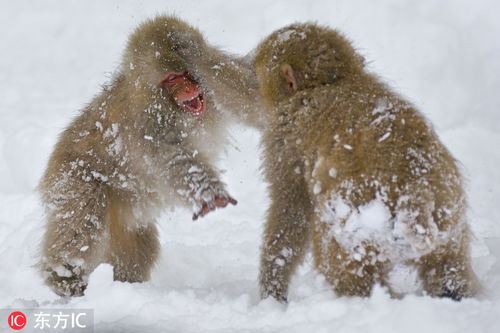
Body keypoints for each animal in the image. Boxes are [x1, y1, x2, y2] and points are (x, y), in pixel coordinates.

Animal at [39, 15, 260, 296]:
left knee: (138, 248)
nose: (188, 88)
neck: (168, 104)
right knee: (83, 222)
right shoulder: (149, 125)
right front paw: (209, 193)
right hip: (73, 179)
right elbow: (173, 159)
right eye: (172, 78)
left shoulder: (215, 79)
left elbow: (252, 95)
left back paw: (124, 285)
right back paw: (64, 276)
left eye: (186, 74)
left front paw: (187, 45)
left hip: (125, 214)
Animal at [256, 22, 478, 300]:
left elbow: (291, 206)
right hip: (448, 214)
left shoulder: (283, 139)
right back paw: (453, 293)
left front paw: (272, 290)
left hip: (361, 222)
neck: (331, 82)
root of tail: (415, 185)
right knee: (448, 266)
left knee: (340, 257)